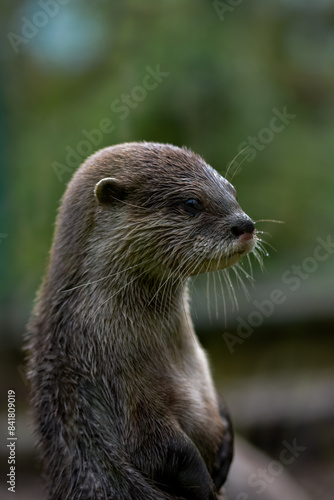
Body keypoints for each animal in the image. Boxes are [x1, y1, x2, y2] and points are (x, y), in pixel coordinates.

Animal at [26, 143, 256, 498]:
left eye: (231, 191)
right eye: (191, 203)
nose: (245, 224)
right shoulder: (119, 383)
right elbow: (159, 449)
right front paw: (207, 488)